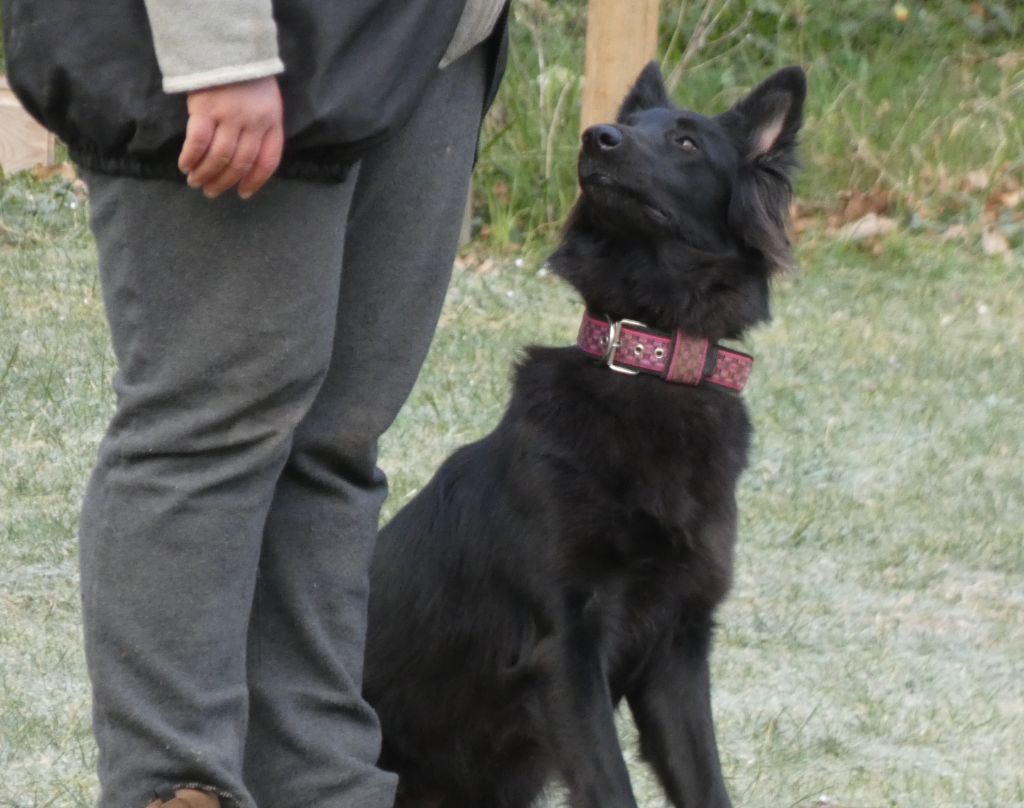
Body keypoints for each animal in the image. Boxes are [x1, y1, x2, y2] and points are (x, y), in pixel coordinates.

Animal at [368, 62, 806, 806]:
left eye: (686, 142)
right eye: (628, 127)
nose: (598, 136)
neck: (648, 363)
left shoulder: (677, 648)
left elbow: (706, 784)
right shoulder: (565, 648)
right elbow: (612, 785)